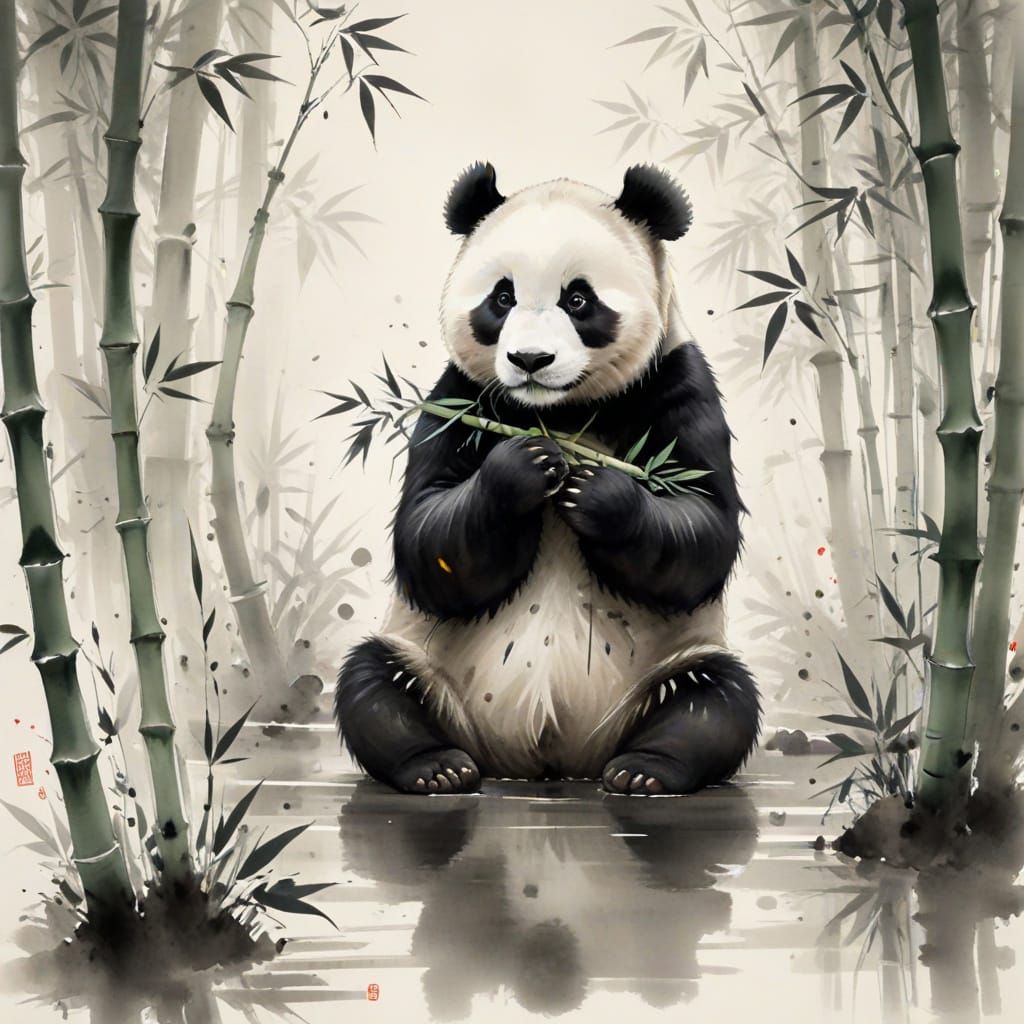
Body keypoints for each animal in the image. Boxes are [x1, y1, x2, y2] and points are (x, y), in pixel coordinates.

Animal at [335, 162, 761, 796]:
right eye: (502, 297)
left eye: (578, 299)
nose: (530, 360)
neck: (559, 413)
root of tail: (547, 759)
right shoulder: (458, 398)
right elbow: (426, 537)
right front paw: (523, 469)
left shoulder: (677, 381)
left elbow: (702, 528)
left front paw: (601, 495)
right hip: (424, 661)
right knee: (374, 683)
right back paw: (435, 767)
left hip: (674, 663)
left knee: (714, 697)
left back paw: (647, 769)